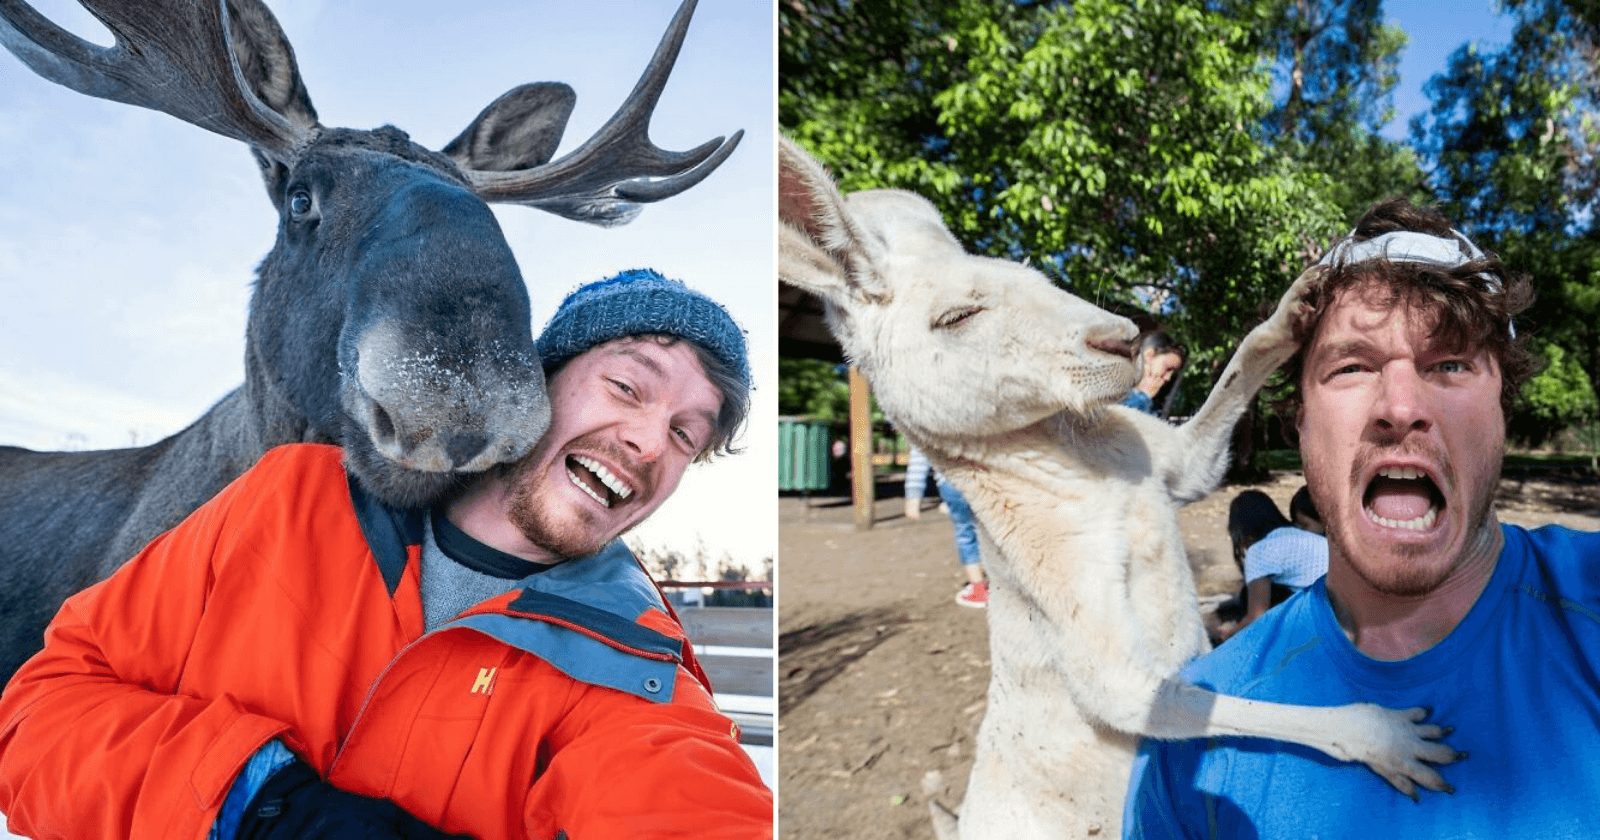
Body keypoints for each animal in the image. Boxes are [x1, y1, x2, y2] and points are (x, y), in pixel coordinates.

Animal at [777, 137, 1465, 838]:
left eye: (1038, 276)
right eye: (957, 316)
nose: (1124, 338)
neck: (1083, 462)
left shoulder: (1162, 459)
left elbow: (1212, 427)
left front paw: (1296, 305)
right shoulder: (1068, 594)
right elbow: (1136, 696)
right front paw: (1387, 736)